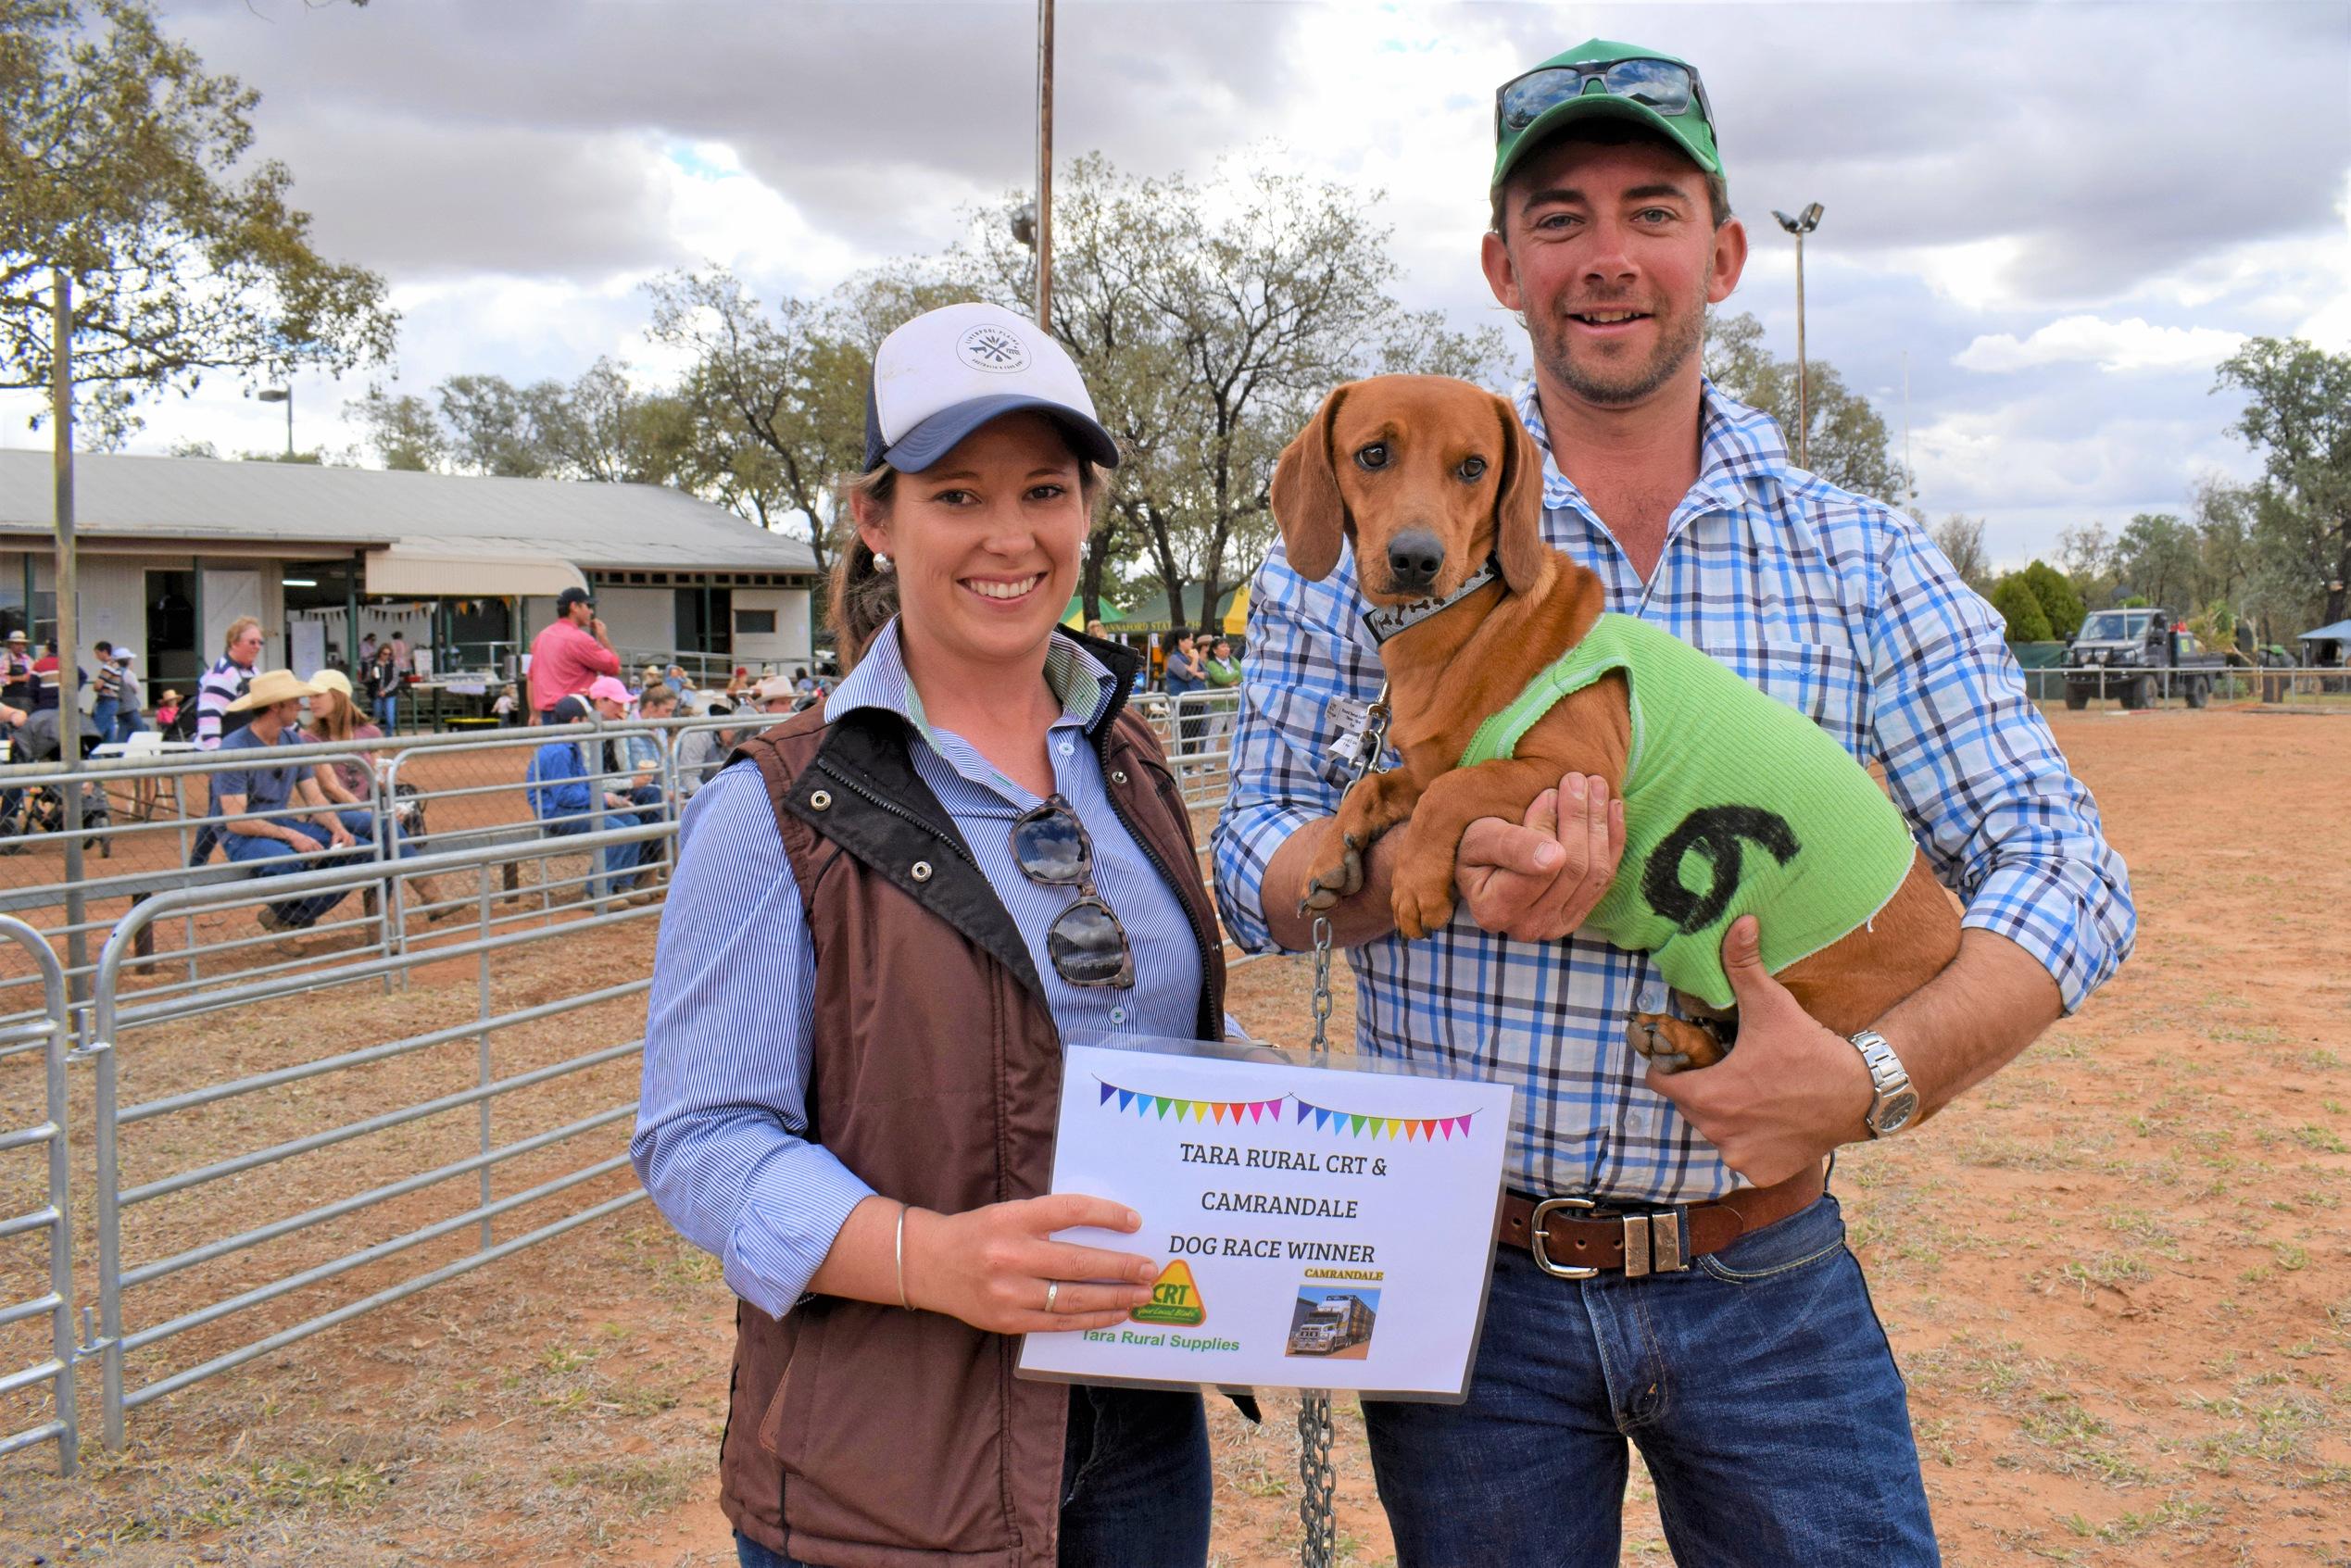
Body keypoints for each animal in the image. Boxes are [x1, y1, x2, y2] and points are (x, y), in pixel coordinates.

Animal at [1278, 373, 1955, 1072]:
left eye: (1473, 467)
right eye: (1373, 454)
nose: (1417, 559)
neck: (1466, 625)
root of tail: (1946, 941)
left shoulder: (1574, 768)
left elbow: (1451, 791)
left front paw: (1416, 882)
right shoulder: (1432, 761)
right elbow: (1375, 785)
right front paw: (1334, 852)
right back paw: (1677, 1040)